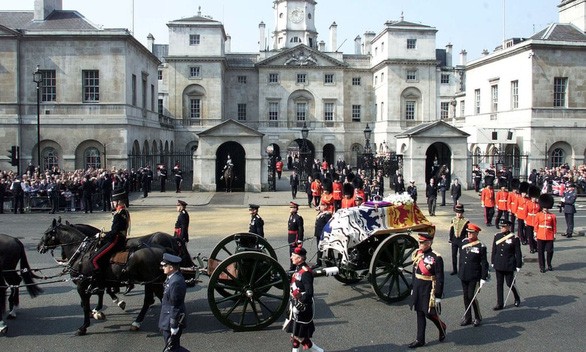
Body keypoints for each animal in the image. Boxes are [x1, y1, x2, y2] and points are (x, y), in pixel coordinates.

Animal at [37, 221, 195, 334]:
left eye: (46, 233)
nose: (39, 247)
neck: (83, 252)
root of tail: (164, 248)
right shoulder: (101, 281)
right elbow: (98, 295)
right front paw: (98, 311)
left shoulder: (83, 284)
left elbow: (86, 304)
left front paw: (85, 324)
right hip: (152, 282)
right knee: (156, 299)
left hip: (152, 282)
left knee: (154, 300)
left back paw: (140, 322)